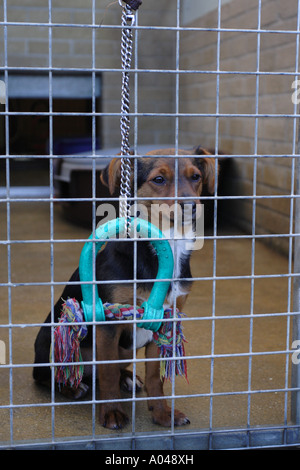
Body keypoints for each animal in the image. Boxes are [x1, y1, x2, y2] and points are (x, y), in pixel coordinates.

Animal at [32, 146, 217, 430]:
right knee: (52, 375)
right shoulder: (108, 323)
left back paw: (128, 378)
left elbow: (154, 378)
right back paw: (72, 387)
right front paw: (112, 413)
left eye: (195, 176)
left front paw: (162, 413)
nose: (191, 207)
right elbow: (107, 373)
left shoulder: (163, 320)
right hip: (52, 339)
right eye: (159, 179)